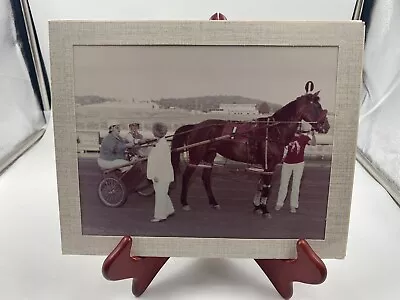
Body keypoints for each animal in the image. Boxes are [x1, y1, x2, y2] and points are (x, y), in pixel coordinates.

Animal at [170, 90, 330, 217]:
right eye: (317, 106)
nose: (326, 126)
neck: (273, 130)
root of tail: (195, 126)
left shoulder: (264, 165)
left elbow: (261, 185)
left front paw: (257, 207)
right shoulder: (270, 165)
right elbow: (266, 187)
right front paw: (264, 210)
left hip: (210, 155)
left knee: (206, 178)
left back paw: (213, 202)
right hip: (196, 155)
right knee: (187, 176)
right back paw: (184, 203)